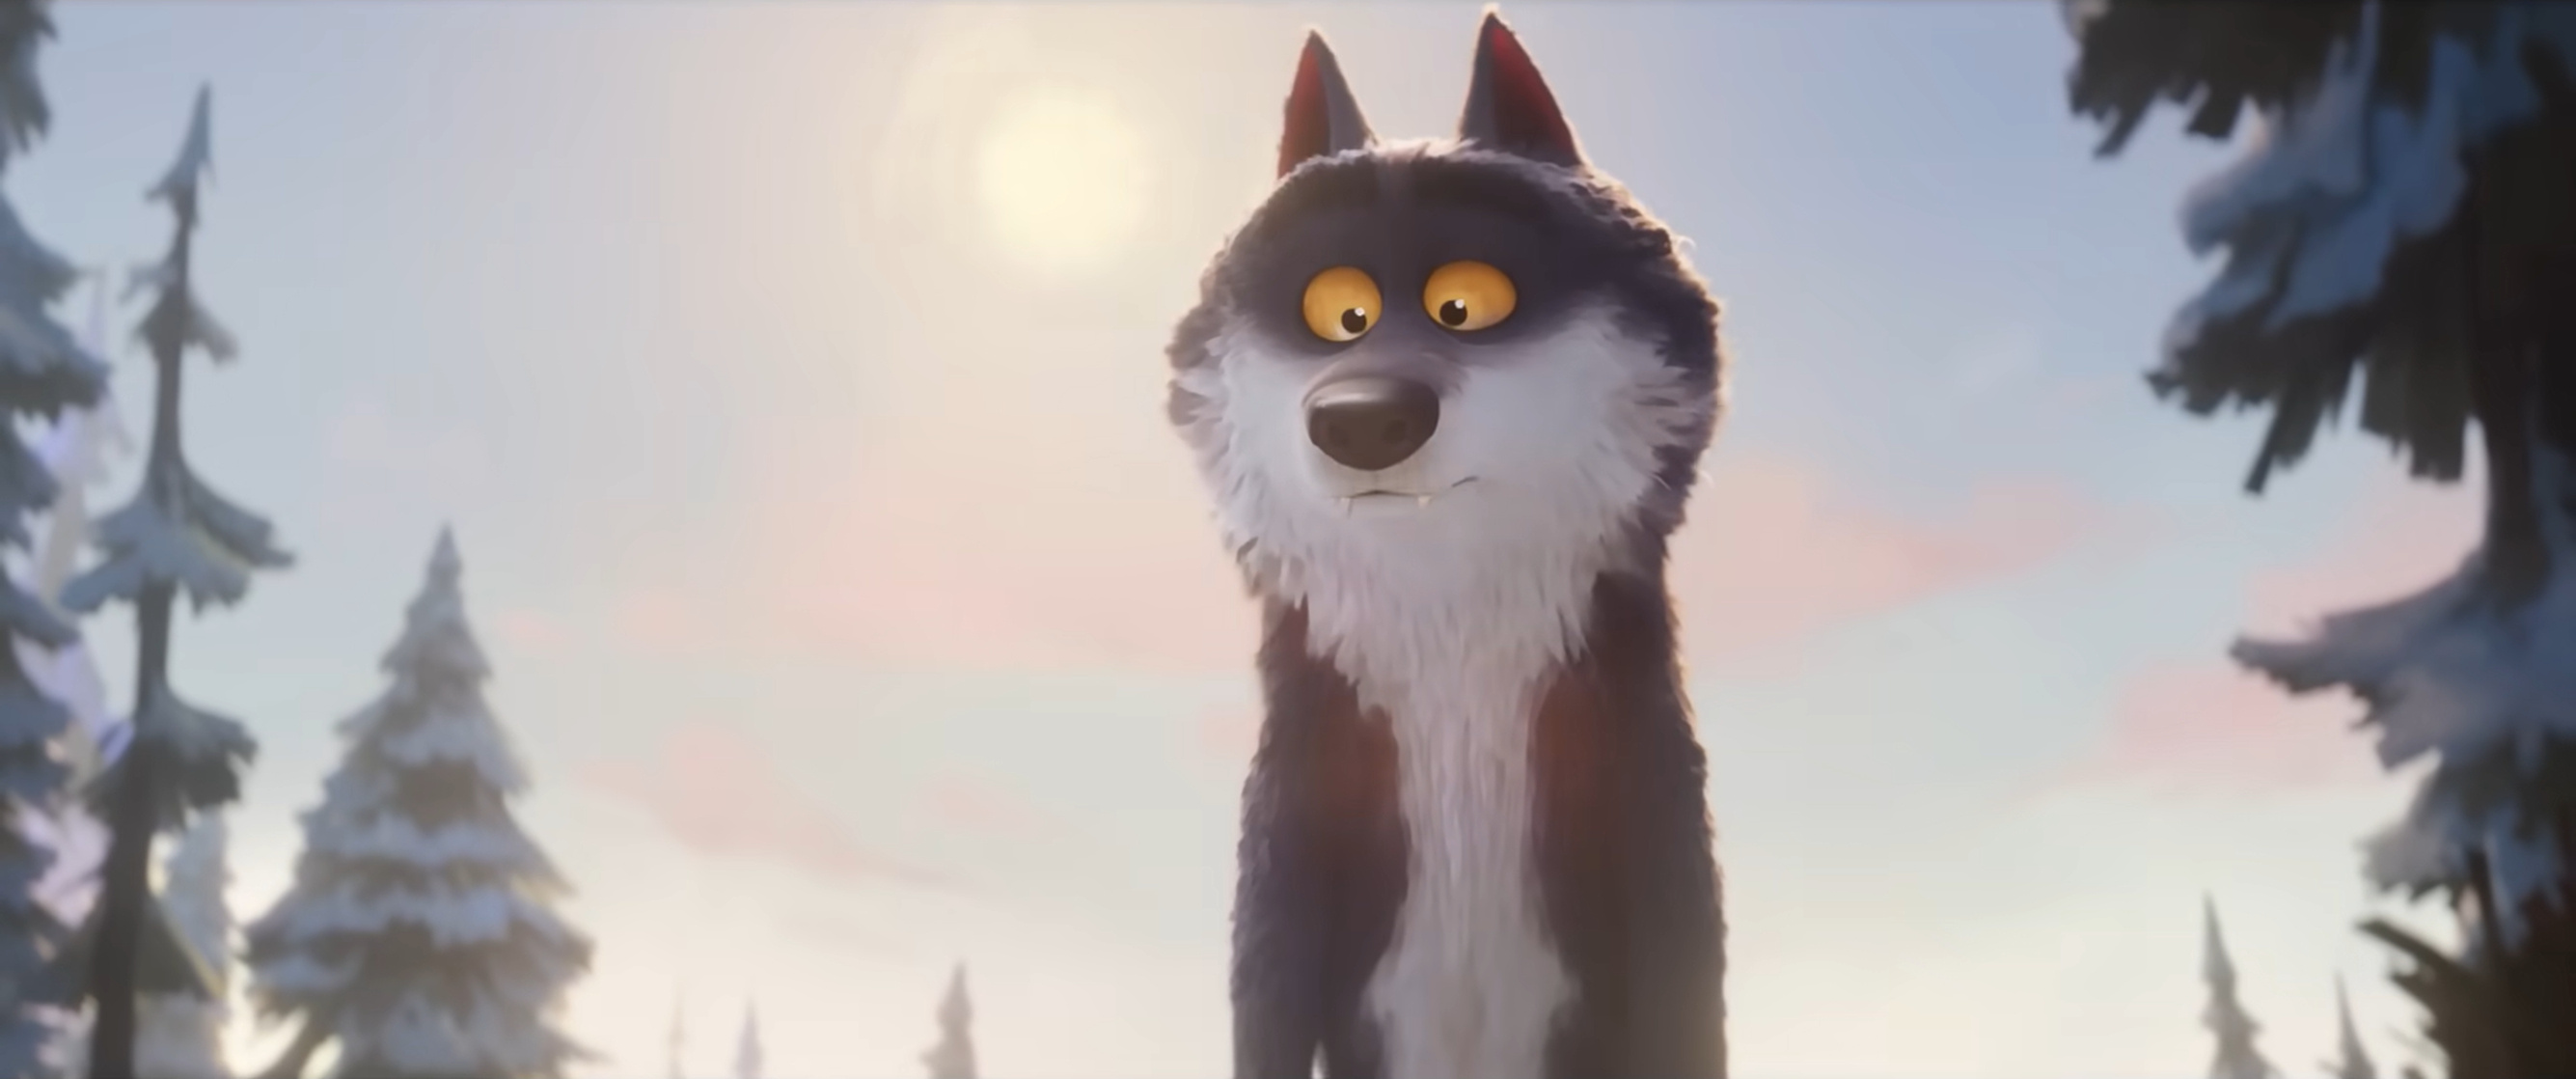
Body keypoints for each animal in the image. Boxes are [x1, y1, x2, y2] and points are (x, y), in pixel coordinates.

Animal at [1164, 10, 1729, 1079]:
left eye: (1466, 302)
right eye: (1338, 311)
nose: (1361, 420)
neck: (1456, 672)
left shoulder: (1655, 842)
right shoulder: (1291, 847)